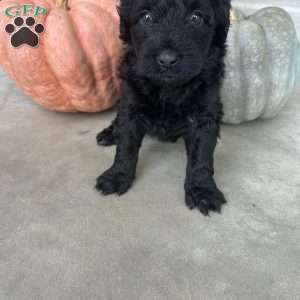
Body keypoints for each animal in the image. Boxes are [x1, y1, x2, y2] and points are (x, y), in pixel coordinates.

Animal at [95, 0, 230, 216]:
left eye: (196, 18)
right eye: (147, 17)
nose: (167, 60)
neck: (168, 89)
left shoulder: (205, 114)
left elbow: (201, 155)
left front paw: (203, 190)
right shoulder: (131, 103)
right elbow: (126, 145)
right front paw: (117, 175)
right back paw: (109, 134)